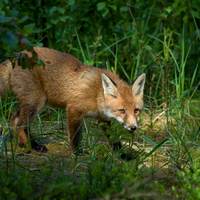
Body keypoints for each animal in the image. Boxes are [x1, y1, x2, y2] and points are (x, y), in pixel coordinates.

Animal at [0, 46, 147, 153]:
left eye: (136, 110)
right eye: (122, 111)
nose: (133, 127)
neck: (97, 94)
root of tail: (17, 55)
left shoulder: (103, 119)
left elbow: (114, 138)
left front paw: (122, 155)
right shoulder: (74, 109)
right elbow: (75, 135)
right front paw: (76, 152)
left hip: (30, 101)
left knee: (14, 118)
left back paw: (22, 144)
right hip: (36, 100)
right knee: (21, 125)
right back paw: (33, 146)